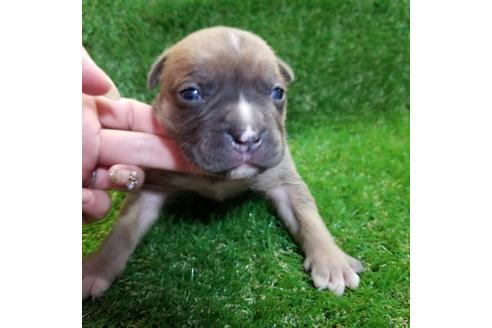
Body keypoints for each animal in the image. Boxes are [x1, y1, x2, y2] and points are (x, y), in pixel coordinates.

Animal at [82, 26, 364, 300]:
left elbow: (307, 216)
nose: (248, 136)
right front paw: (99, 265)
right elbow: (125, 226)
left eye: (278, 92)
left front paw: (331, 260)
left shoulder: (284, 180)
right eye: (191, 93)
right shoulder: (152, 186)